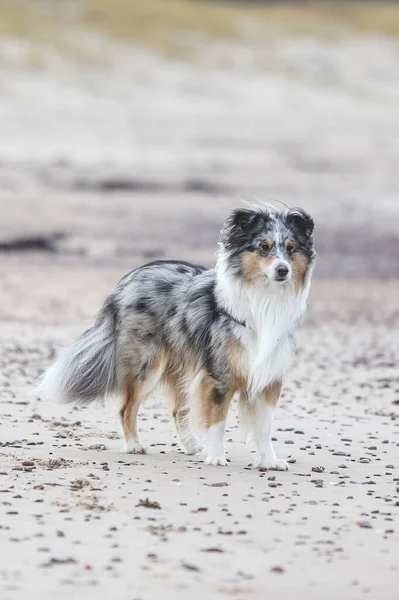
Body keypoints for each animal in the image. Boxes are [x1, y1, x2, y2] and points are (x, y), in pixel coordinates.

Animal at [39, 202, 316, 468]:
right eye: (264, 247)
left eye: (290, 248)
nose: (282, 270)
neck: (264, 299)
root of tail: (127, 280)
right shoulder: (219, 376)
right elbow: (217, 420)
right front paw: (217, 456)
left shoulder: (268, 376)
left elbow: (264, 427)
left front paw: (269, 461)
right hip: (146, 366)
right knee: (126, 408)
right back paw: (134, 445)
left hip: (183, 366)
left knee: (176, 410)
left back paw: (193, 447)